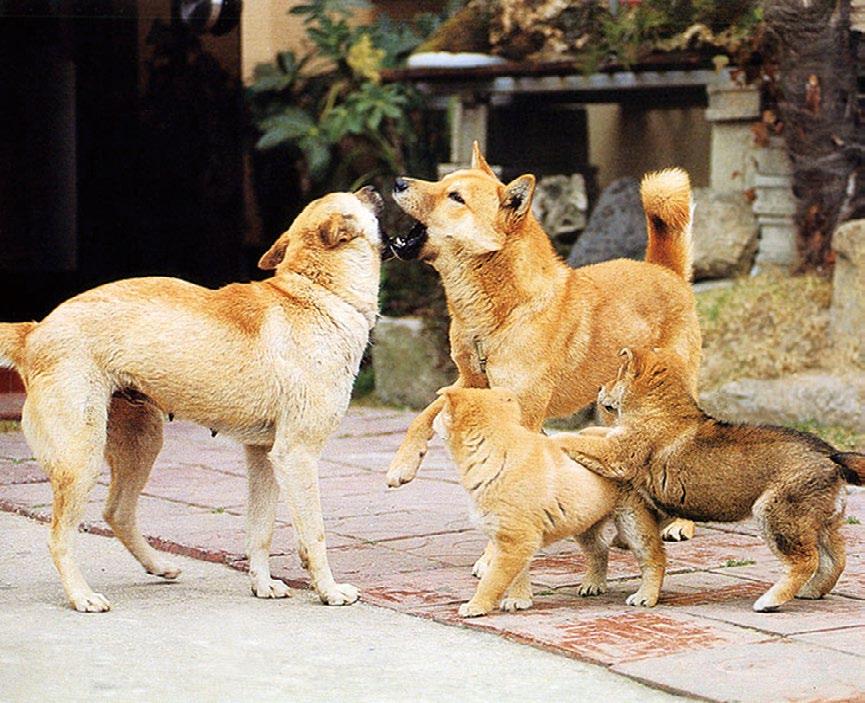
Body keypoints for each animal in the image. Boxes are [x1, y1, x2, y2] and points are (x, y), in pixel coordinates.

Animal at [0, 187, 384, 612]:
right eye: (352, 201)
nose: (373, 188)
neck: (317, 294)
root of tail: (34, 332)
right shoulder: (296, 455)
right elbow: (314, 535)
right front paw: (329, 591)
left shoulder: (265, 456)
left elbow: (260, 530)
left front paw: (263, 584)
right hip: (81, 458)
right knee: (60, 537)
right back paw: (81, 596)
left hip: (141, 443)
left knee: (116, 512)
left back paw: (158, 566)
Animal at [388, 143, 700, 568]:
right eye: (442, 181)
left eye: (455, 198)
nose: (398, 181)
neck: (502, 311)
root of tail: (663, 271)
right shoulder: (469, 381)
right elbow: (422, 416)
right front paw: (402, 464)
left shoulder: (521, 410)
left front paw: (492, 557)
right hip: (612, 408)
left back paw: (680, 522)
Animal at [436, 388, 664, 620]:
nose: (433, 418)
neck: (494, 453)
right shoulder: (517, 540)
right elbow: (518, 574)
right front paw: (520, 600)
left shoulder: (515, 541)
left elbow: (493, 580)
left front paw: (476, 606)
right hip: (585, 524)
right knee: (600, 551)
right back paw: (593, 584)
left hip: (632, 522)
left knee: (654, 558)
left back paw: (646, 596)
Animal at [552, 350, 864, 612]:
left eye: (617, 375)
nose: (598, 388)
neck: (662, 408)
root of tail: (831, 455)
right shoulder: (616, 443)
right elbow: (592, 433)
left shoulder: (619, 453)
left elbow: (578, 440)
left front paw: (556, 439)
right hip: (819, 522)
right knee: (836, 559)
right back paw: (811, 591)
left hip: (776, 514)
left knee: (805, 561)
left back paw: (769, 601)